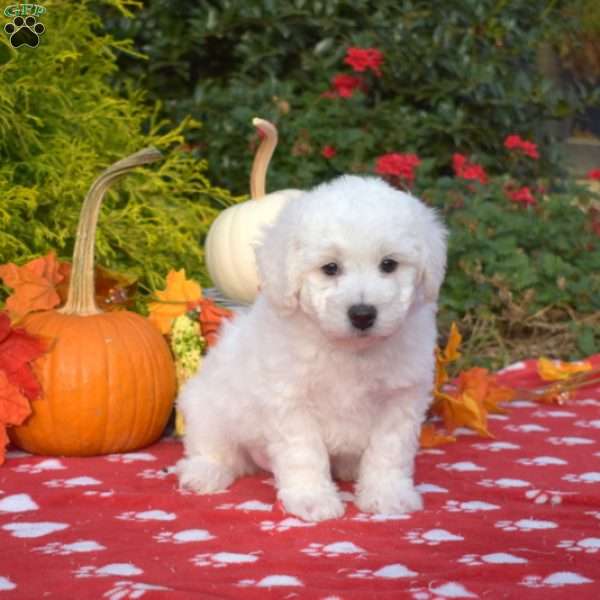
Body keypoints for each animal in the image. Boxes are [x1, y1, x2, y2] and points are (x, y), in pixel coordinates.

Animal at [176, 173, 448, 520]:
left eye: (389, 264)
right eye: (330, 268)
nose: (363, 314)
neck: (350, 349)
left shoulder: (400, 398)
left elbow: (388, 450)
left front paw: (387, 494)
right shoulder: (291, 400)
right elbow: (303, 453)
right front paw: (312, 500)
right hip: (208, 405)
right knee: (212, 446)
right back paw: (204, 472)